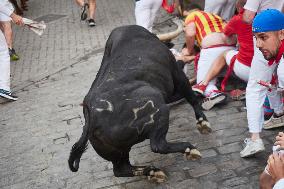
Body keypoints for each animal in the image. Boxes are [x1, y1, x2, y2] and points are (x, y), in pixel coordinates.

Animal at [69, 24, 211, 182]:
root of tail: (92, 119)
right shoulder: (177, 74)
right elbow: (191, 96)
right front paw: (203, 123)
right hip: (158, 106)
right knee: (158, 145)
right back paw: (189, 150)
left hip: (118, 153)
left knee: (121, 170)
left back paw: (153, 171)